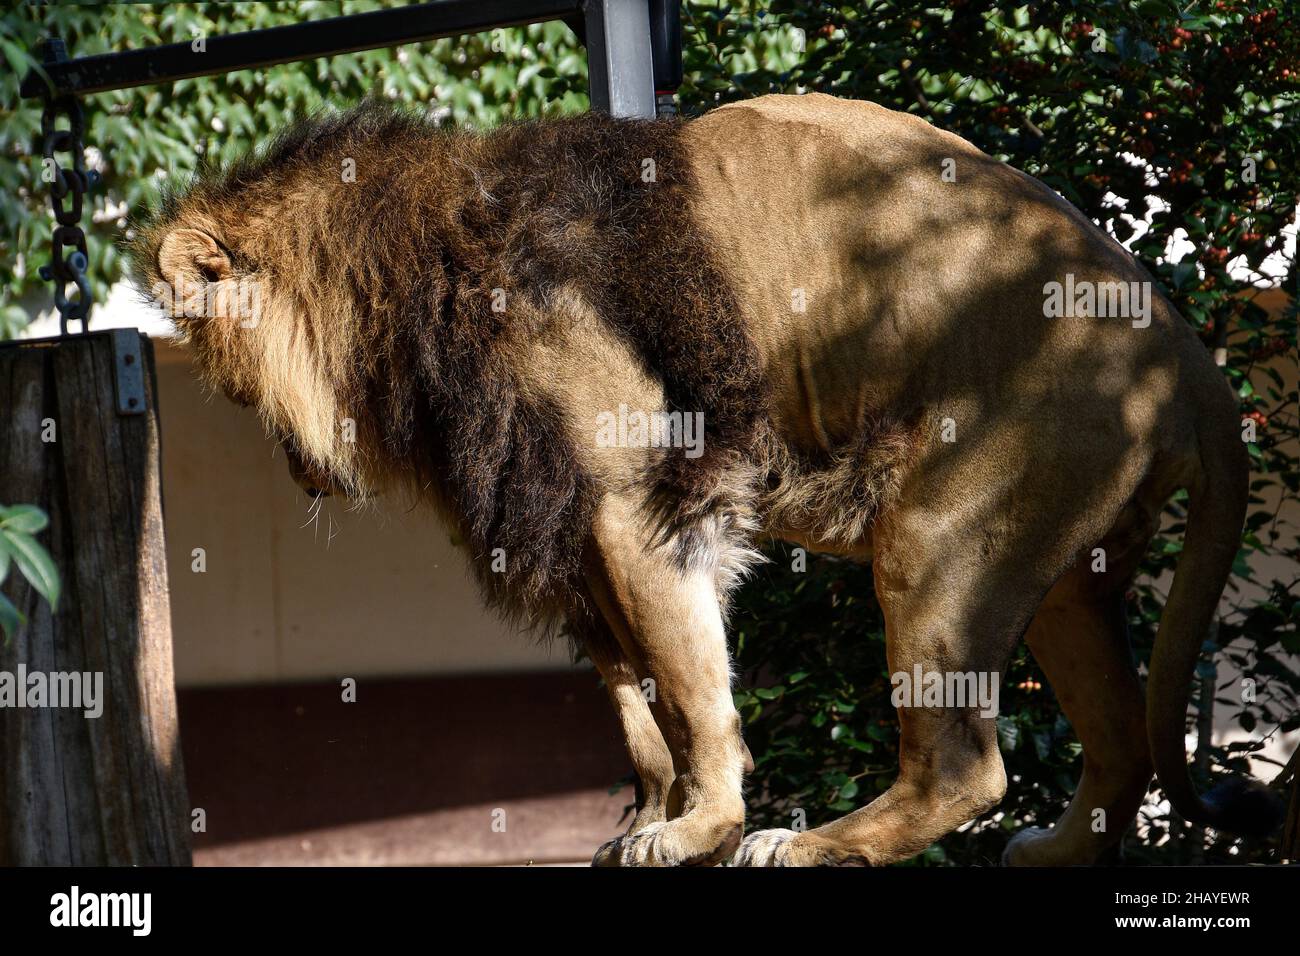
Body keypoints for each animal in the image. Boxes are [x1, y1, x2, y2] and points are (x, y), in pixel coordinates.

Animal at [129, 91, 1279, 868]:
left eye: (231, 389)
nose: (295, 473)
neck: (418, 272)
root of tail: (1191, 355)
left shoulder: (634, 498)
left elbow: (687, 684)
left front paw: (699, 827)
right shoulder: (570, 522)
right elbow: (633, 694)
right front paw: (652, 814)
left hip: (947, 533)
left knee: (966, 766)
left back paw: (805, 843)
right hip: (1067, 577)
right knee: (1121, 742)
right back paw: (1054, 851)